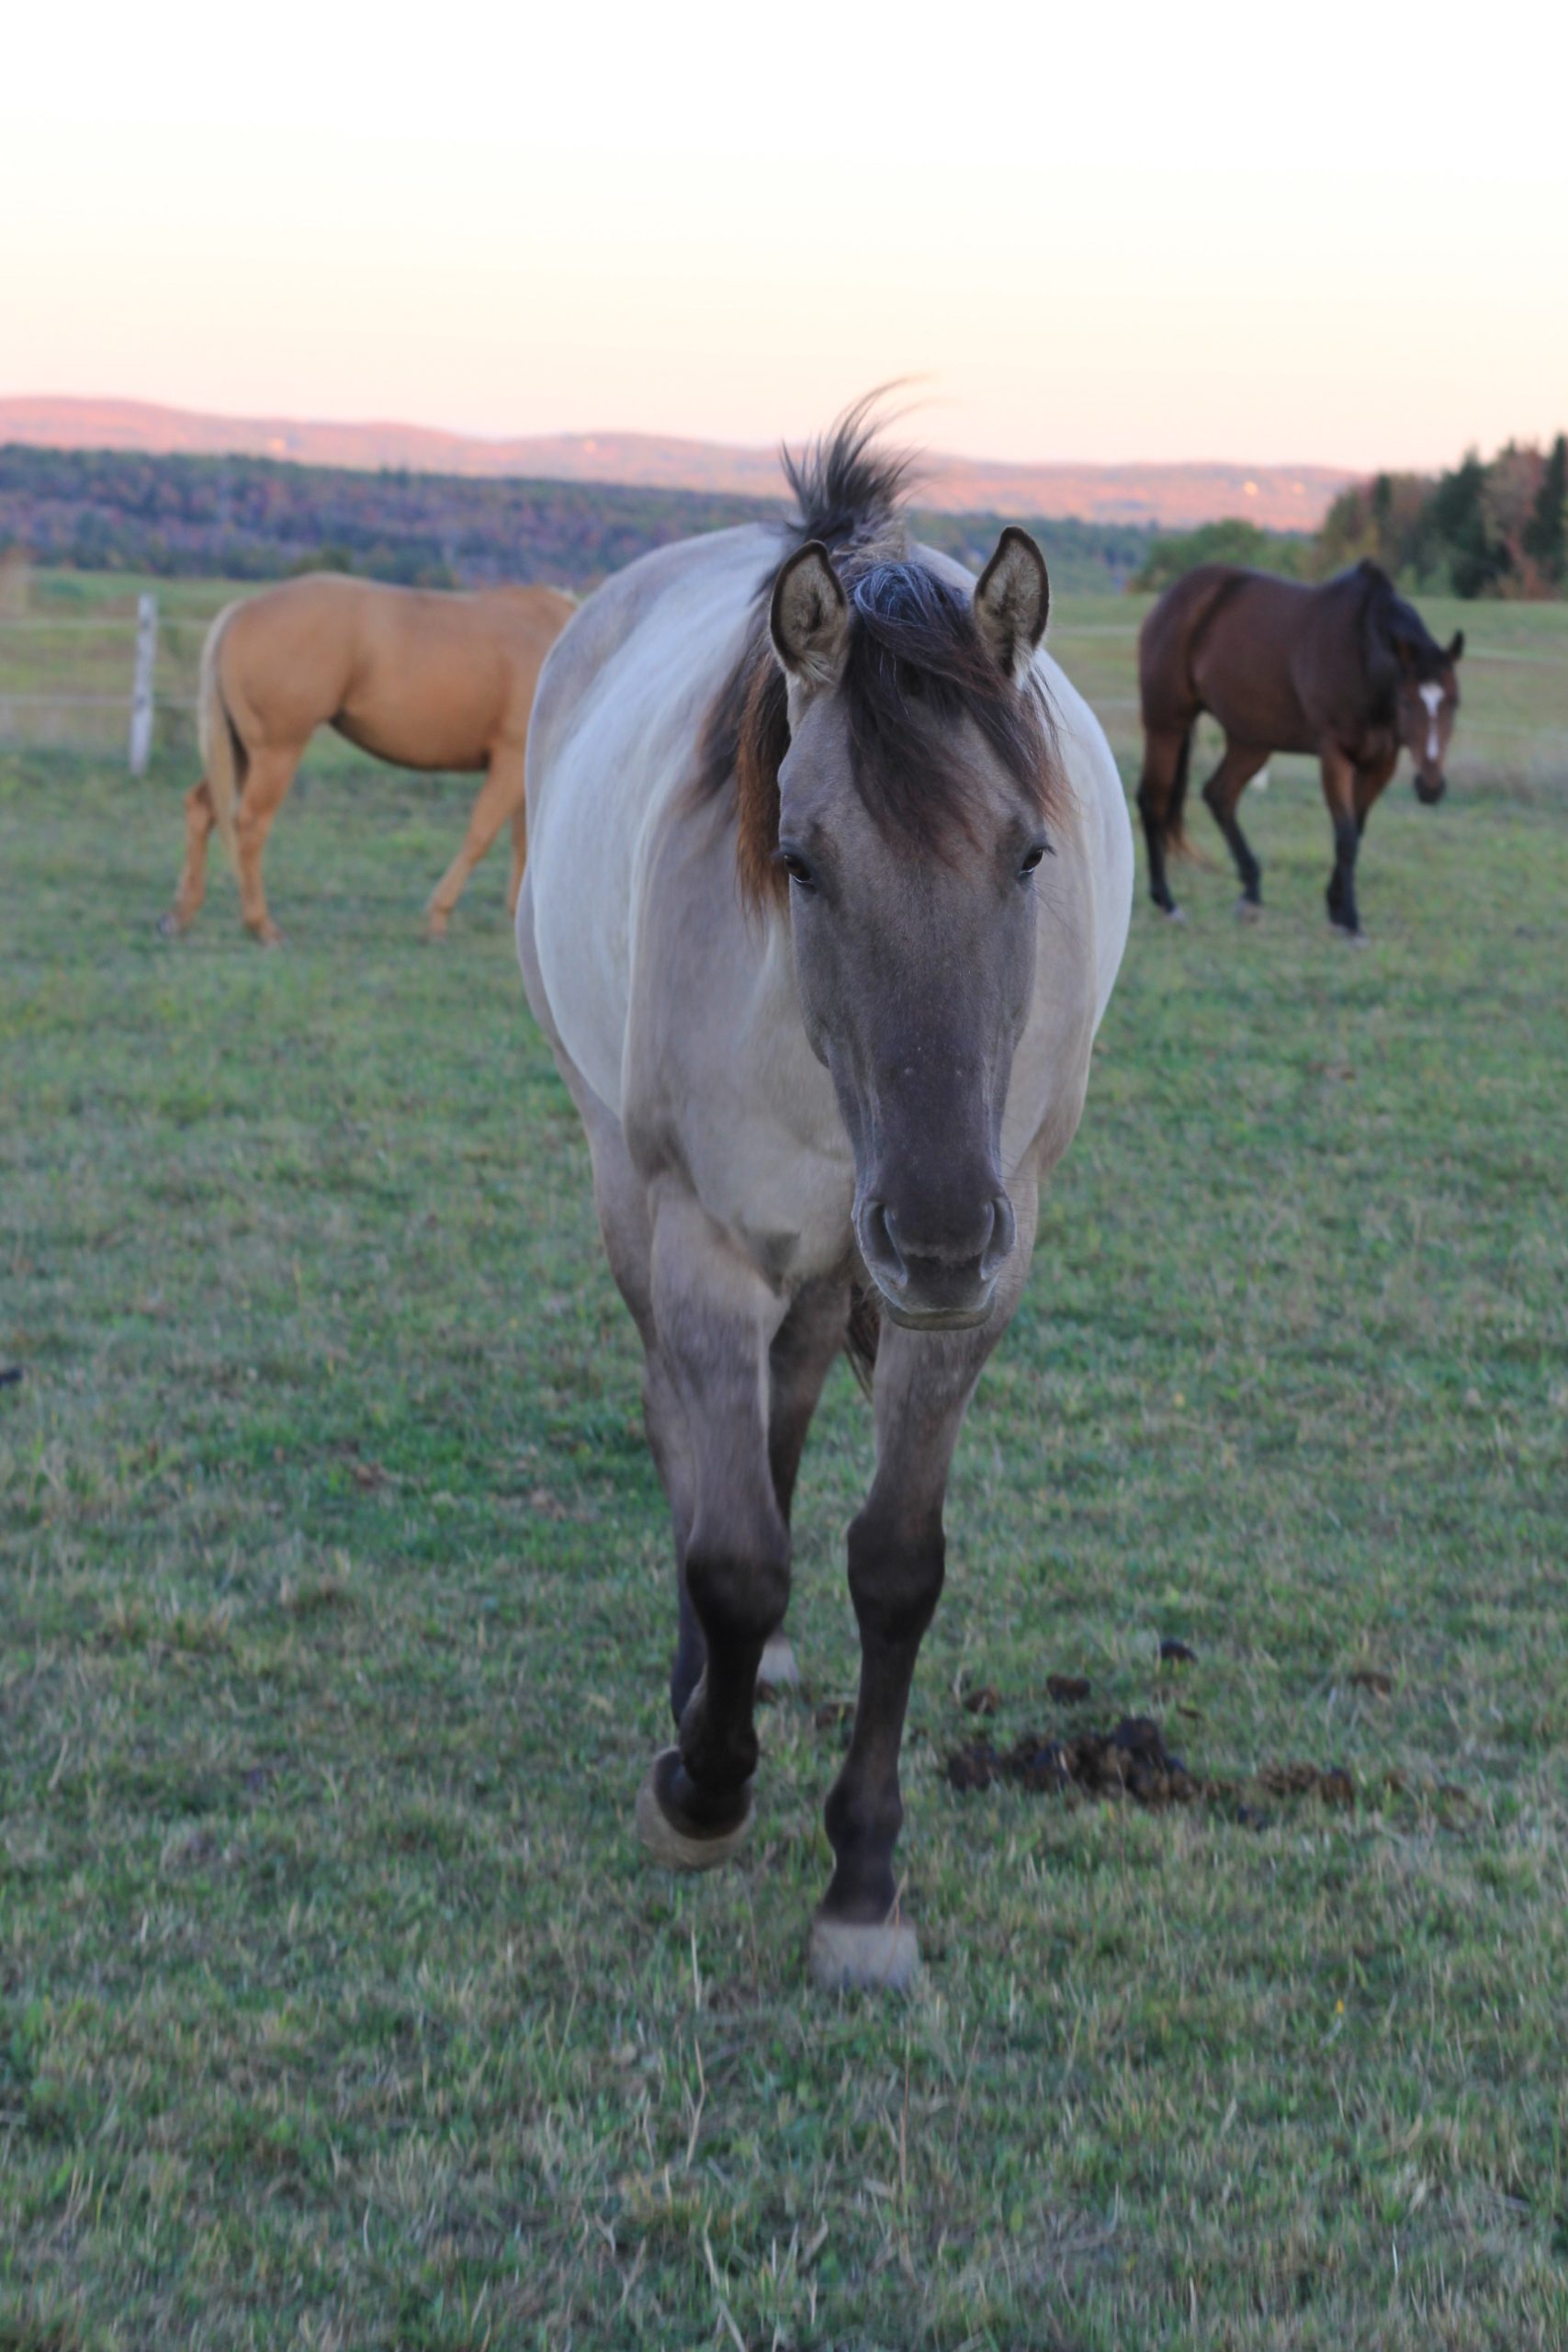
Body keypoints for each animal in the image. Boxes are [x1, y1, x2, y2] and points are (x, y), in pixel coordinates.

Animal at [160, 574, 574, 945]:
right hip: (275, 754)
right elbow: (481, 835)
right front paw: (438, 917)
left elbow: (524, 840)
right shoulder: (510, 762)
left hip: (240, 755)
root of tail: (244, 610)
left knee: (202, 810)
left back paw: (181, 914)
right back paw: (261, 925)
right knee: (249, 825)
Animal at [517, 406, 1132, 1989]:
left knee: (782, 1415)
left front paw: (861, 1884)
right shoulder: (702, 1244)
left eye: (1027, 854)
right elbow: (735, 1554)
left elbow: (892, 1563)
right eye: (797, 861)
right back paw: (701, 1687)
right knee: (693, 1437)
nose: (935, 1230)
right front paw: (700, 1788)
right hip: (634, 1188)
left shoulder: (970, 1280)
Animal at [1135, 559, 1464, 938]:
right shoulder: (1334, 755)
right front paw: (1351, 921)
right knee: (1154, 802)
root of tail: (1172, 598)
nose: (1431, 787)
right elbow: (1346, 835)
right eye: (1408, 702)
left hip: (1252, 740)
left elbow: (1356, 831)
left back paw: (1251, 893)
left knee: (1219, 795)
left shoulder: (1382, 762)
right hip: (1166, 726)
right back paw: (1167, 902)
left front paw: (1336, 907)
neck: (1360, 655)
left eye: (1454, 703)